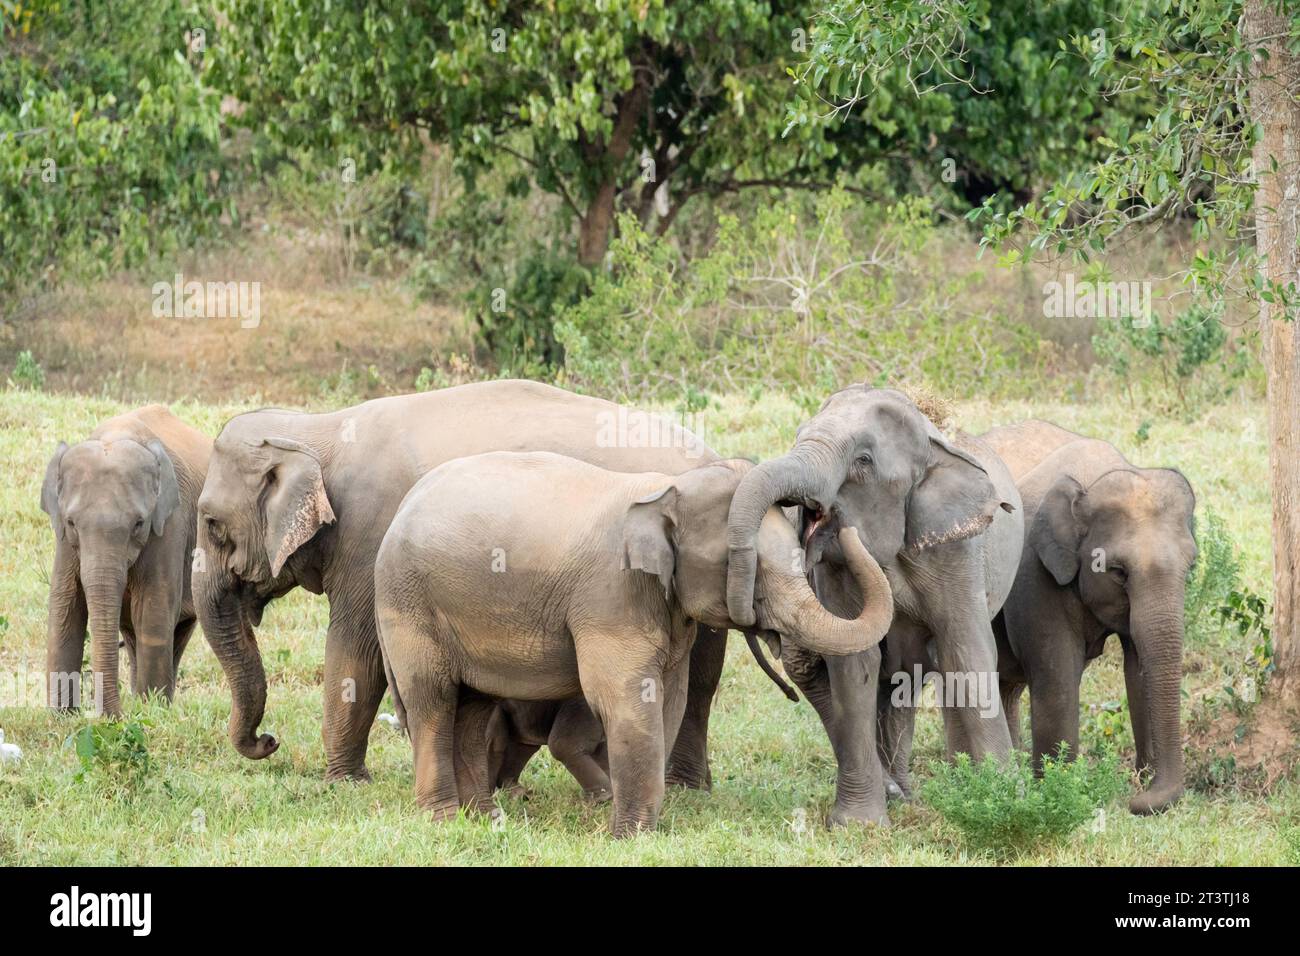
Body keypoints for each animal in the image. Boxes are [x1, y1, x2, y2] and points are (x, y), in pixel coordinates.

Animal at [40, 405, 210, 717]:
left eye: (139, 524)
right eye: (71, 523)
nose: (115, 716)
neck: (115, 436)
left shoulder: (170, 524)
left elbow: (153, 606)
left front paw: (151, 713)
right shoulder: (64, 540)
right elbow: (66, 603)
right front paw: (61, 717)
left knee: (176, 629)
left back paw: (155, 704)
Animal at [193, 377, 759, 780]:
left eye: (212, 524)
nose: (268, 741)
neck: (319, 429)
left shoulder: (369, 539)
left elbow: (356, 652)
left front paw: (343, 781)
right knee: (701, 678)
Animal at [371, 452, 889, 832]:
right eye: (743, 563)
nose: (839, 522)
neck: (667, 490)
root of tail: (399, 511)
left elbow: (671, 699)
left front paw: (640, 827)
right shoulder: (609, 596)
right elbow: (621, 696)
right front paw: (628, 834)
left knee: (474, 705)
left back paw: (483, 816)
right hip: (408, 603)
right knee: (432, 700)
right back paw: (442, 819)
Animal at [717, 385, 1019, 827]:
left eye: (863, 461)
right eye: (798, 435)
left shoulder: (957, 547)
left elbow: (966, 650)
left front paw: (1002, 799)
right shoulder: (833, 569)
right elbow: (855, 662)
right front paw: (858, 826)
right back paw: (900, 794)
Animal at [982, 418, 1196, 816]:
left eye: (1191, 567)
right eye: (1118, 572)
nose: (1135, 801)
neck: (1093, 480)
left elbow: (1138, 665)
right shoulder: (1032, 572)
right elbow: (1058, 674)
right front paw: (1058, 790)